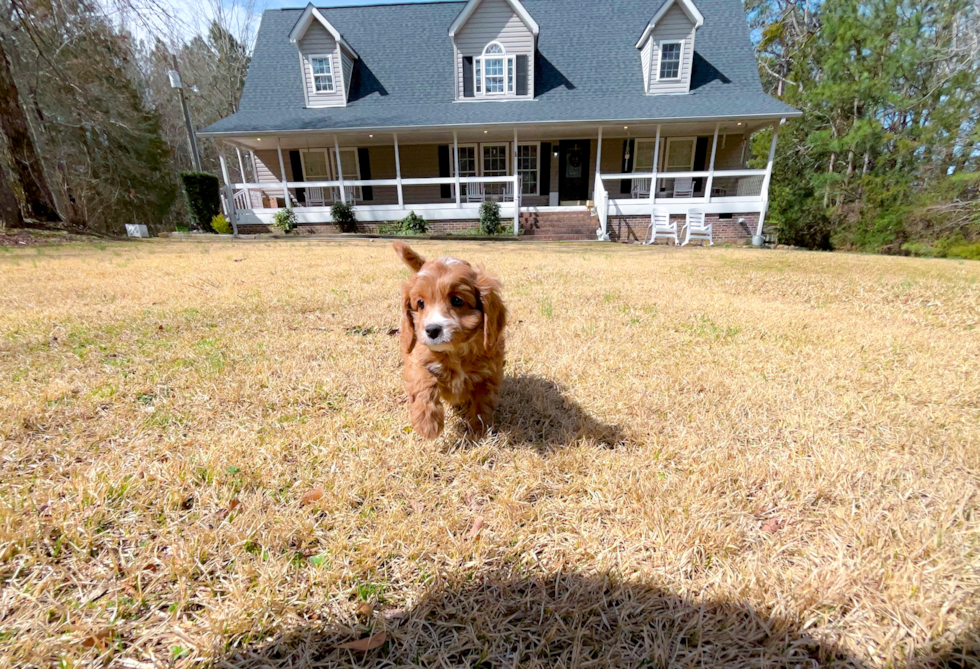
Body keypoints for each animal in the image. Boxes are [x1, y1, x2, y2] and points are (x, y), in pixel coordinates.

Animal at [394, 241, 510, 438]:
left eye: (457, 300)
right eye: (421, 304)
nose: (432, 330)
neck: (456, 351)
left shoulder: (489, 373)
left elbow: (483, 403)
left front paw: (479, 429)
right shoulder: (418, 357)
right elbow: (422, 380)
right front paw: (427, 423)